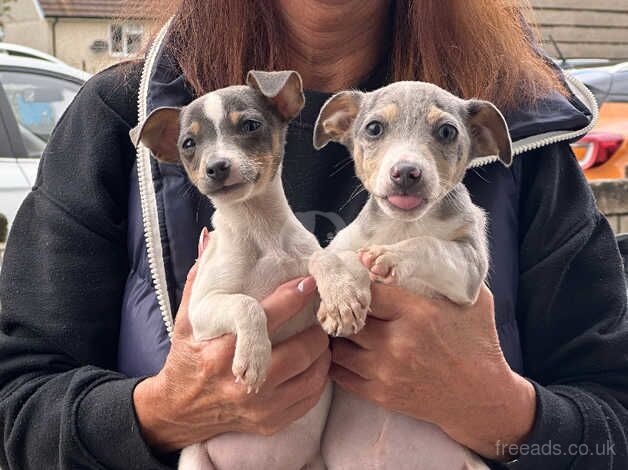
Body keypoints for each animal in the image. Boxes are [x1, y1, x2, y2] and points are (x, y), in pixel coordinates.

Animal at [133, 70, 334, 470]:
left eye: (250, 125)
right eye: (189, 143)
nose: (216, 167)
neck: (259, 229)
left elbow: (322, 259)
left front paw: (343, 292)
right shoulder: (203, 311)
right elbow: (246, 303)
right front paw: (254, 357)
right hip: (194, 459)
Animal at [308, 81, 510, 470]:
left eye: (447, 132)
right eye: (374, 128)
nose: (406, 172)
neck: (402, 225)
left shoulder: (469, 267)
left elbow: (429, 244)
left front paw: (390, 256)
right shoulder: (339, 244)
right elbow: (324, 259)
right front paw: (343, 298)